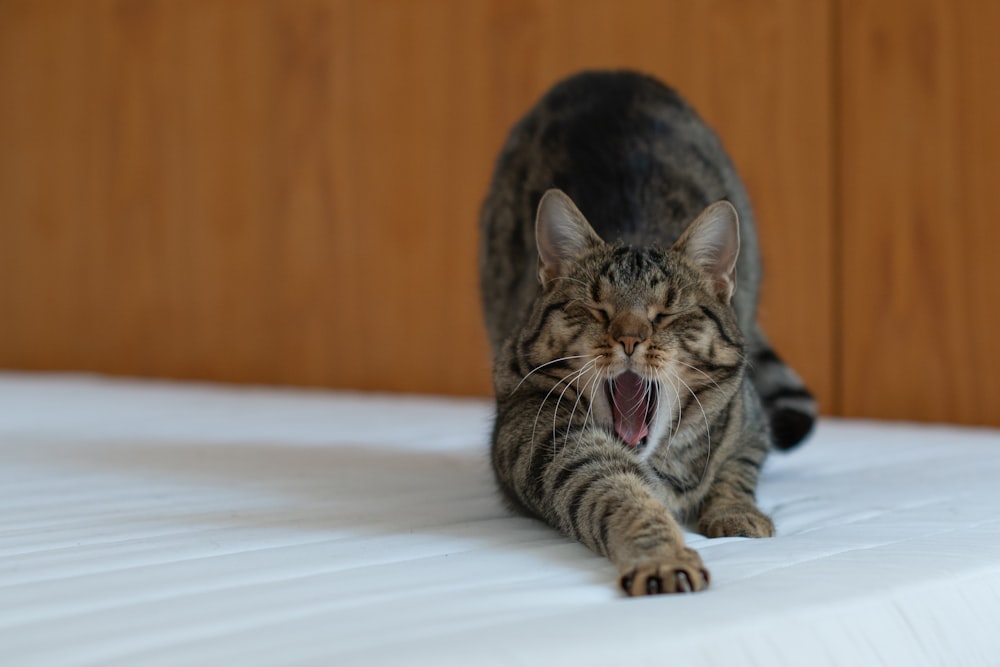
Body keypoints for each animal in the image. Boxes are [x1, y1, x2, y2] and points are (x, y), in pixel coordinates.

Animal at [480, 70, 816, 596]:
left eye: (665, 314)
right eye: (597, 309)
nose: (630, 339)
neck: (663, 463)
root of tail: (606, 73)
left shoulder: (751, 424)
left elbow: (736, 471)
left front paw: (737, 512)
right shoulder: (546, 440)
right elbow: (622, 496)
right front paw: (663, 556)